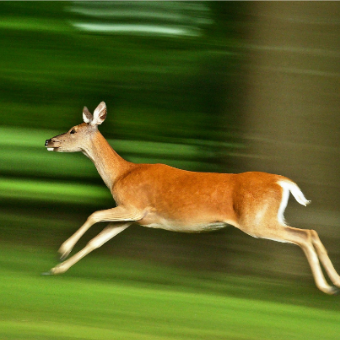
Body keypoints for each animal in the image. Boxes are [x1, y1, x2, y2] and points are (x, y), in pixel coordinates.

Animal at [45, 101, 340, 294]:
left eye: (72, 130)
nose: (49, 141)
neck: (121, 174)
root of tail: (283, 182)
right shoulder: (132, 217)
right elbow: (96, 242)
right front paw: (55, 270)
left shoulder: (133, 206)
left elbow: (93, 214)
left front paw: (61, 250)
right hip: (268, 217)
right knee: (311, 233)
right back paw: (334, 283)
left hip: (256, 220)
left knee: (304, 236)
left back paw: (327, 286)